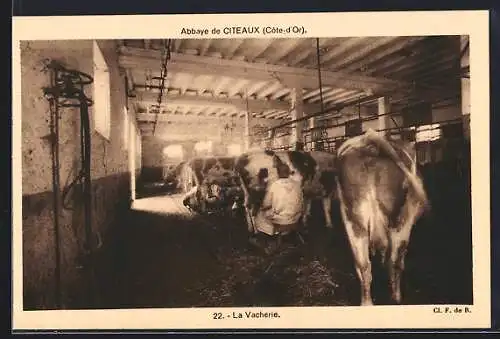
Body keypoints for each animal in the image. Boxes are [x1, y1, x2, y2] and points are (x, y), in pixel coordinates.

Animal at [334, 129, 428, 306]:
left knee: (363, 265)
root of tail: (369, 143)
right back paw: (396, 297)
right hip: (401, 222)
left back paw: (367, 303)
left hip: (353, 220)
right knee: (395, 262)